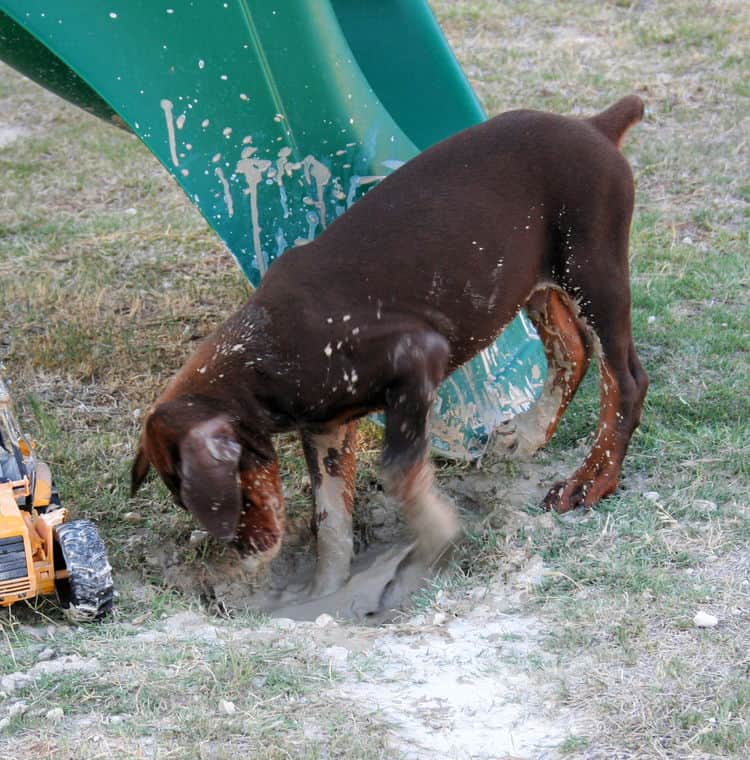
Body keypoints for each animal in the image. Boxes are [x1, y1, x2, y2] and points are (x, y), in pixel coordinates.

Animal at [132, 95, 648, 600]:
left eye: (223, 492)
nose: (248, 553)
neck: (264, 351)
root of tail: (594, 126)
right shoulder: (326, 432)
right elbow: (331, 522)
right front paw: (325, 593)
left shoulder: (417, 359)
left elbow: (398, 471)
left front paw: (437, 535)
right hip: (536, 281)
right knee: (573, 352)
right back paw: (530, 432)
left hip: (592, 271)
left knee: (624, 381)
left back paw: (591, 481)